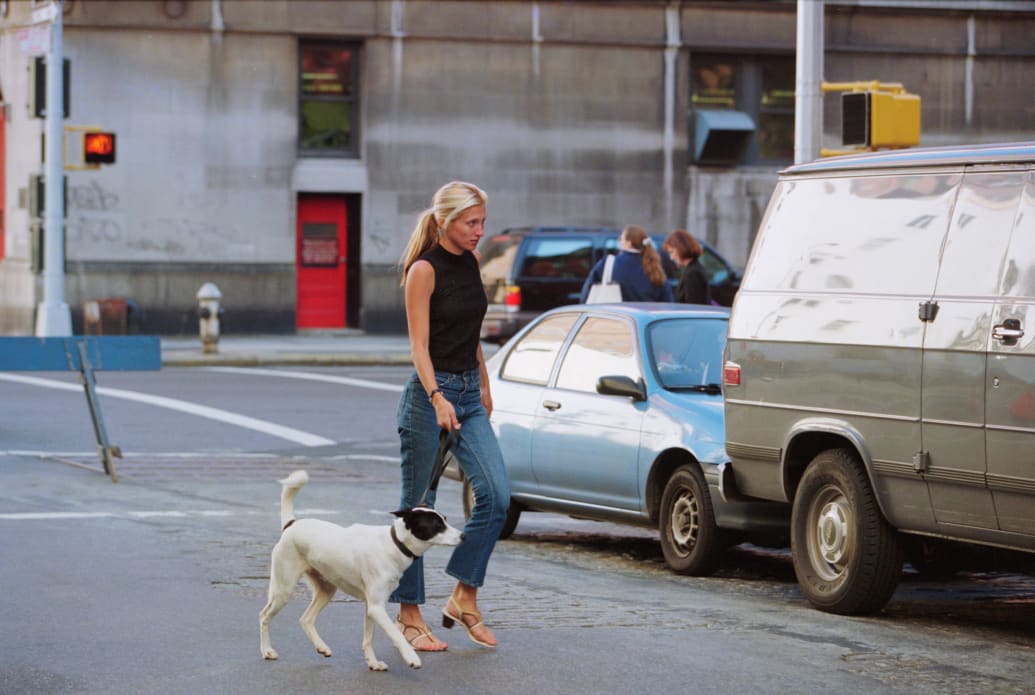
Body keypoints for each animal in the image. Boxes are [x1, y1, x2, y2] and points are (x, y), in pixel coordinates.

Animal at [256, 470, 463, 671]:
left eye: (445, 520)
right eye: (437, 525)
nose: (464, 536)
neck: (394, 543)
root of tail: (291, 524)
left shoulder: (372, 606)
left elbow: (368, 638)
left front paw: (373, 663)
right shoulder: (377, 608)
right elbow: (396, 634)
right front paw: (411, 657)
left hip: (326, 589)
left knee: (305, 619)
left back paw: (321, 646)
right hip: (283, 589)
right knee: (264, 616)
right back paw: (267, 651)